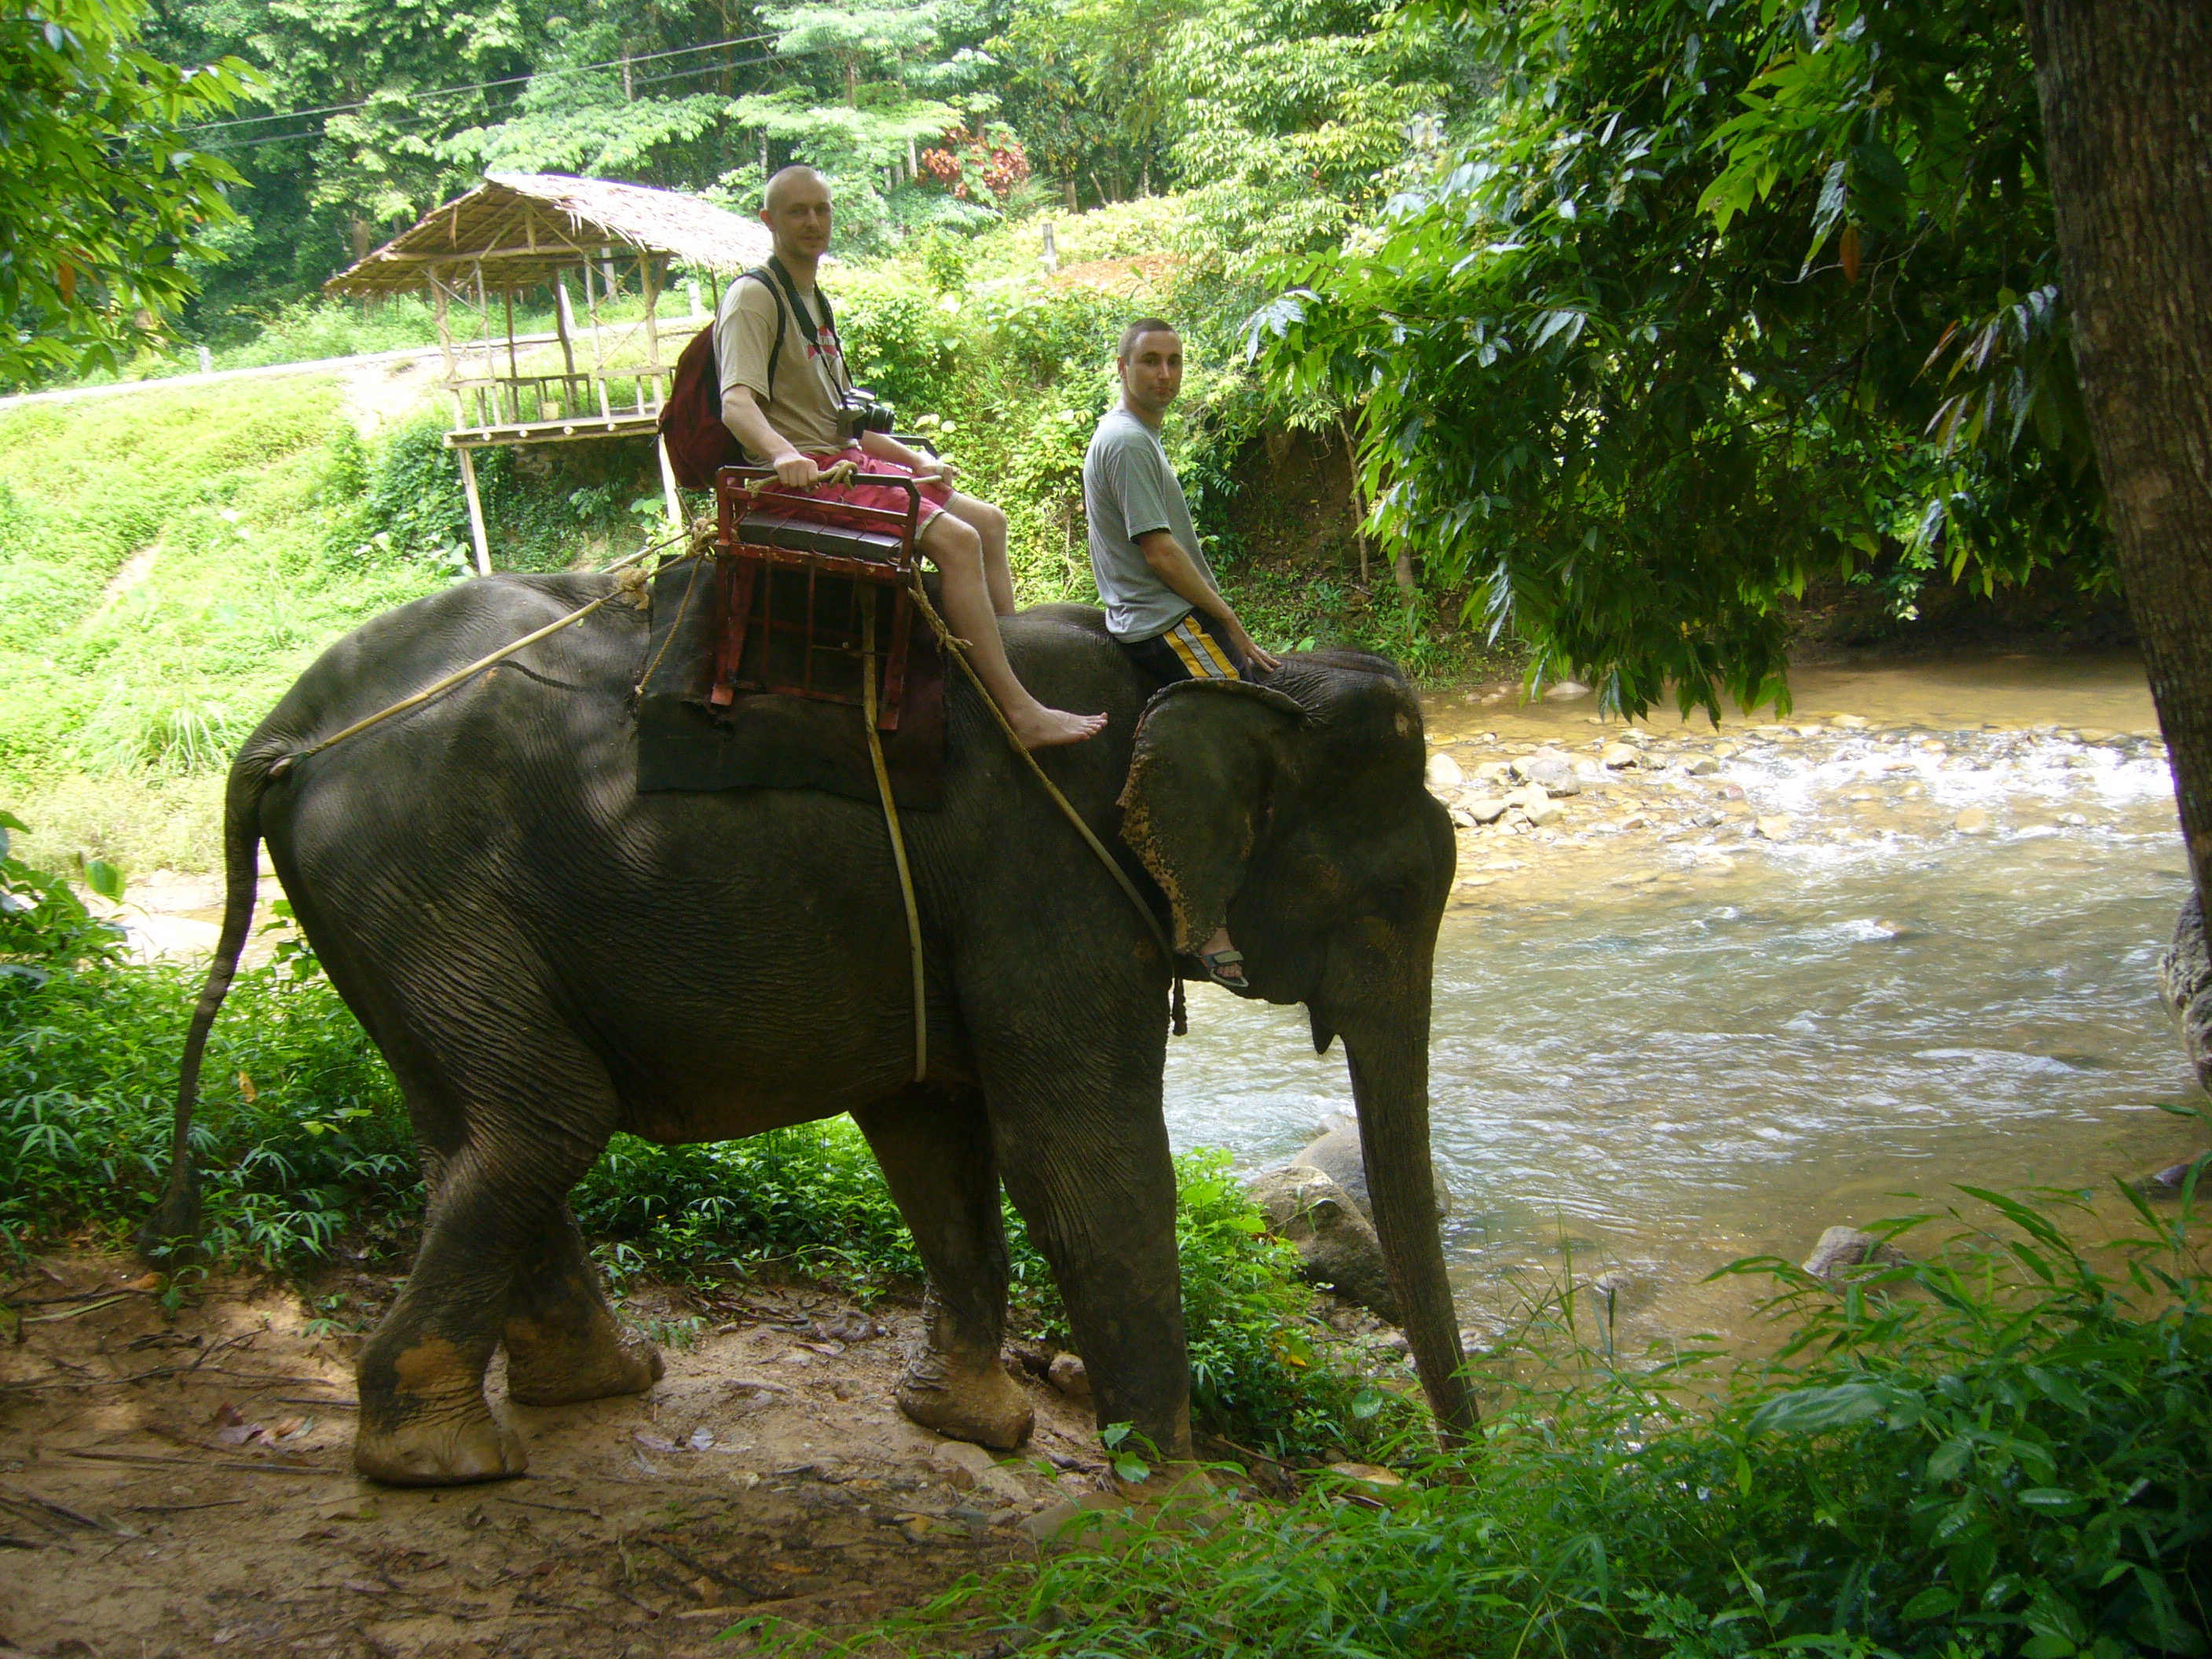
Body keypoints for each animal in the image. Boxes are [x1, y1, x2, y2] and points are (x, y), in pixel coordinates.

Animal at [138, 565, 1473, 1486]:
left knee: (469, 1129)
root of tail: (284, 732)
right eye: (1387, 900)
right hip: (428, 886)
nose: (1468, 1476)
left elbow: (930, 1133)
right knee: (539, 1122)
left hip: (394, 917)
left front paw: (970, 1426)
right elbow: (1077, 1159)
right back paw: (445, 1461)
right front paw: (1169, 1485)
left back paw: (595, 1387)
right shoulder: (1053, 877)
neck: (1215, 671)